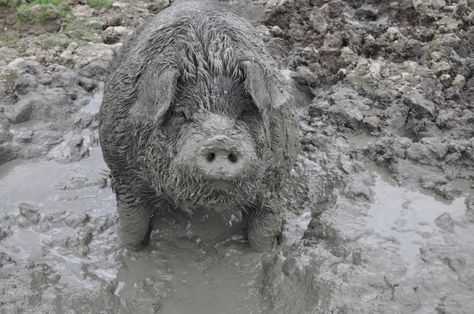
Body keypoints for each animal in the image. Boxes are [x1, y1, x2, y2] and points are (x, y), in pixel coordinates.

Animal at [99, 0, 300, 250]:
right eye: (181, 113)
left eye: (244, 112)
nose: (220, 142)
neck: (208, 61)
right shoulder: (123, 174)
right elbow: (132, 230)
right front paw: (128, 251)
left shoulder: (275, 180)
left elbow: (261, 237)